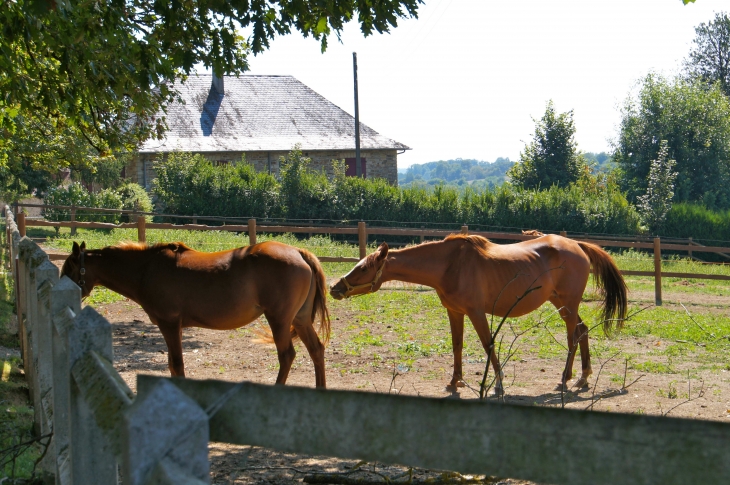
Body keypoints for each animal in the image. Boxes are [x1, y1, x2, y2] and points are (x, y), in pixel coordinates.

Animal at [62, 240, 330, 388]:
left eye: (68, 270)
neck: (146, 269)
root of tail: (298, 252)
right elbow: (172, 365)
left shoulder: (169, 324)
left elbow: (177, 364)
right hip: (300, 320)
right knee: (316, 350)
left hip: (279, 320)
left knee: (287, 356)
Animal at [330, 234, 624, 394]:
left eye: (363, 268)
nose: (335, 288)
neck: (449, 265)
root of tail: (577, 245)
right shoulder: (455, 312)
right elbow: (457, 345)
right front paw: (455, 381)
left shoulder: (476, 312)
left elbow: (488, 344)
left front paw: (498, 383)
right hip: (561, 304)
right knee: (582, 331)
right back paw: (583, 377)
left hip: (568, 304)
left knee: (573, 336)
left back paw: (565, 378)